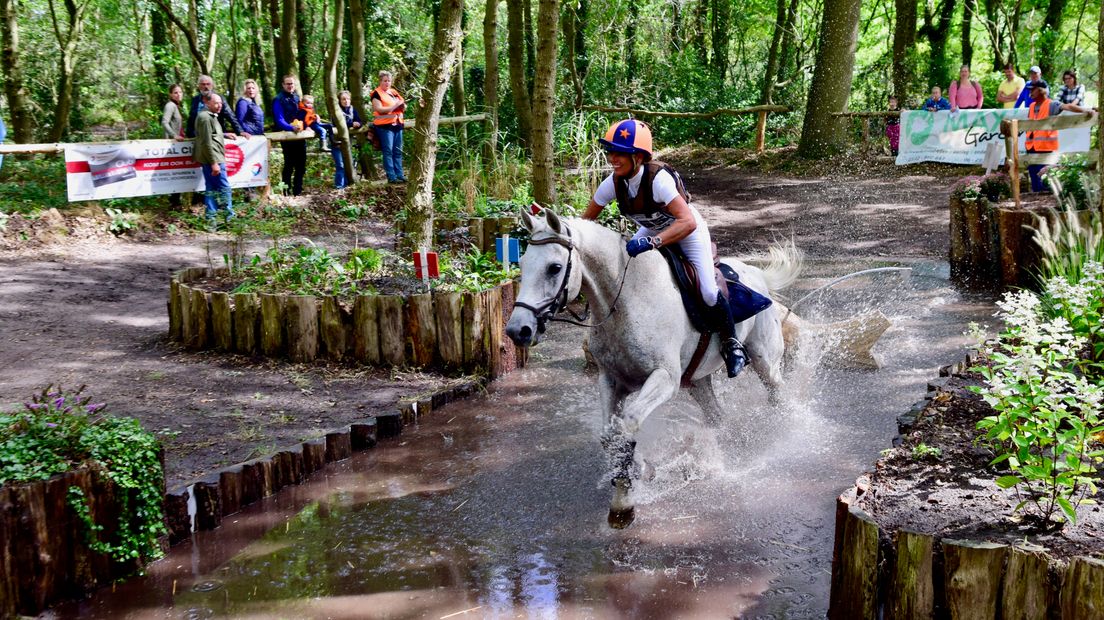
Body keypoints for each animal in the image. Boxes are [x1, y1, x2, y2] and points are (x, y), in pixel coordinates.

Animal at [503, 207, 803, 525]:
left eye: (554, 267)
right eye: (523, 264)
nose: (518, 330)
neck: (625, 301)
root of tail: (756, 274)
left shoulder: (664, 379)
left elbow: (629, 422)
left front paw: (627, 494)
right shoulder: (611, 380)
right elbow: (610, 435)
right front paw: (628, 487)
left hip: (764, 361)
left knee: (777, 393)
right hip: (696, 381)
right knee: (717, 415)